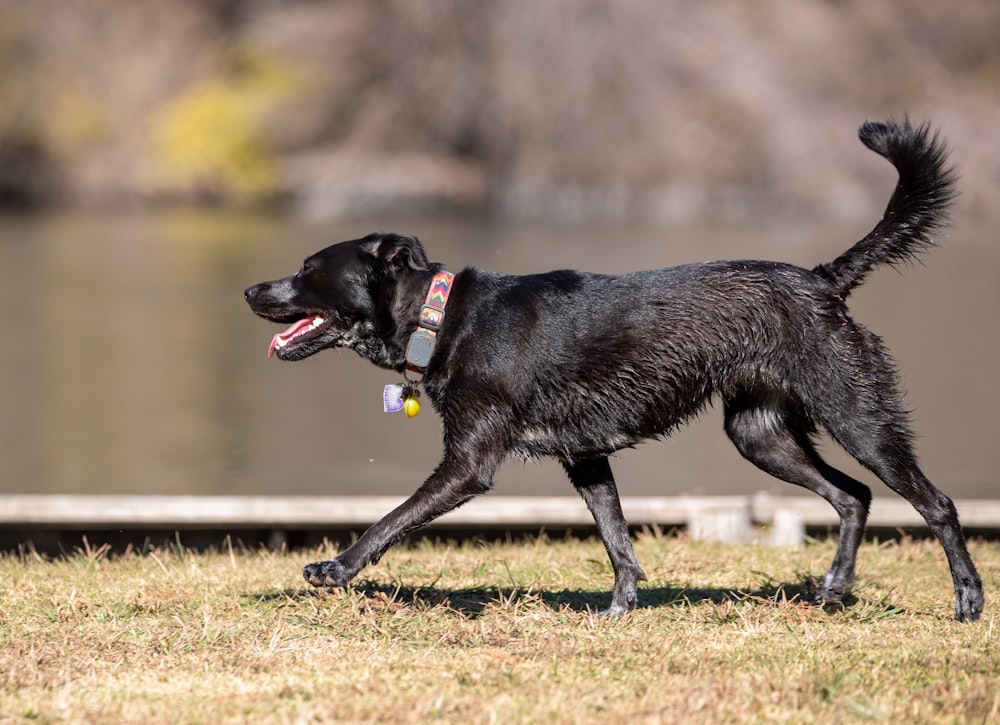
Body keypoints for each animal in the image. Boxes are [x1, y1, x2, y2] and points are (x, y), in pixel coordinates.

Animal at [244, 120, 984, 624]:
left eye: (309, 269)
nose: (251, 290)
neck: (442, 315)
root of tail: (824, 278)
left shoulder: (468, 465)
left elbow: (390, 521)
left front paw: (336, 568)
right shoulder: (586, 457)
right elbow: (617, 539)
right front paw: (620, 611)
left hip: (855, 412)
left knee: (936, 503)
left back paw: (968, 598)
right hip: (761, 434)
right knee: (853, 495)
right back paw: (833, 589)